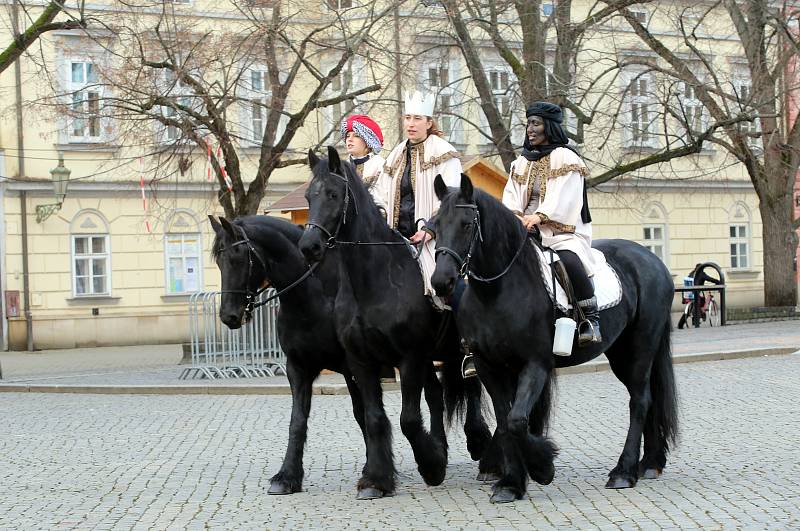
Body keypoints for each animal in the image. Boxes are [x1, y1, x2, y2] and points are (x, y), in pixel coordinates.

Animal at [296, 148, 490, 500]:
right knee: (438, 395)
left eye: (333, 194)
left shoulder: (409, 358)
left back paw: (482, 450)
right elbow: (375, 418)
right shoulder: (362, 362)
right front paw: (378, 479)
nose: (308, 247)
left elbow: (408, 419)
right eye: (308, 196)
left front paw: (431, 466)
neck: (375, 282)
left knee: (471, 390)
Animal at [428, 177, 680, 504]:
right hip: (622, 353)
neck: (497, 292)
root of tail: (653, 259)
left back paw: (624, 472)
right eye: (434, 225)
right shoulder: (489, 367)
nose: (441, 282)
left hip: (639, 349)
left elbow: (517, 420)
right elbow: (505, 421)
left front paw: (542, 466)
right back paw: (649, 463)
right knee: (649, 399)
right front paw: (511, 483)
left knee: (640, 401)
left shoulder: (536, 364)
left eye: (467, 224)